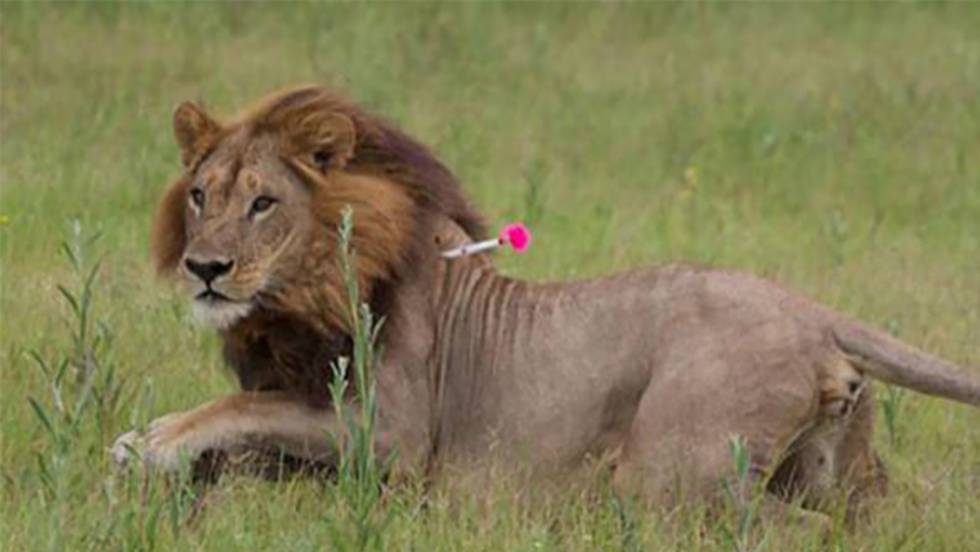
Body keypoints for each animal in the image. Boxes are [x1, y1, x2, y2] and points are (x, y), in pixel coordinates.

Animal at [113, 86, 972, 520]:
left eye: (262, 203)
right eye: (199, 196)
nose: (204, 268)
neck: (311, 283)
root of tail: (814, 310)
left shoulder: (391, 434)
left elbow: (240, 409)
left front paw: (149, 443)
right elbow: (248, 441)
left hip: (668, 479)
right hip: (840, 472)